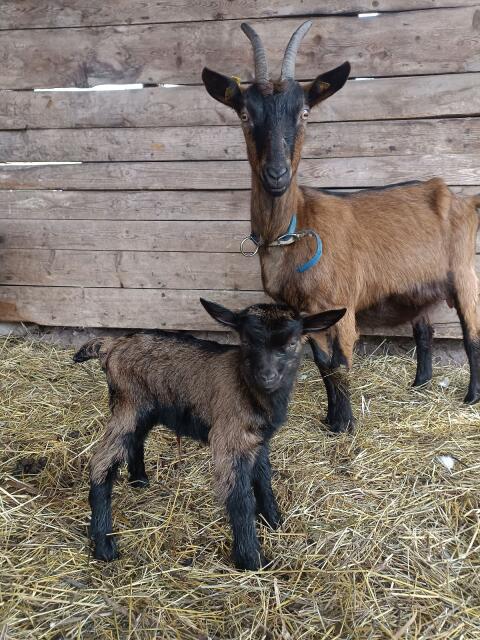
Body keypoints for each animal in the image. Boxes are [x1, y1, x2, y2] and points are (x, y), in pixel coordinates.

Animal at [73, 299, 344, 570]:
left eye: (291, 343)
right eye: (247, 341)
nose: (267, 377)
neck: (248, 388)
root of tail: (112, 345)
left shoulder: (257, 440)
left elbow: (263, 477)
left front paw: (274, 520)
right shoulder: (228, 439)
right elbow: (240, 499)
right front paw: (252, 559)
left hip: (142, 408)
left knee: (134, 440)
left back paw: (139, 481)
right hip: (129, 404)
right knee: (101, 462)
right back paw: (104, 546)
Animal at [202, 21, 480, 433]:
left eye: (304, 113)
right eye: (244, 115)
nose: (276, 175)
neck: (294, 229)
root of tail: (461, 198)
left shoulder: (341, 305)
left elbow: (341, 364)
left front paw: (346, 425)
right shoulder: (307, 311)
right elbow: (322, 365)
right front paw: (332, 419)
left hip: (464, 272)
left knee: (471, 331)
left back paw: (472, 396)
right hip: (417, 288)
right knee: (424, 331)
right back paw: (420, 384)